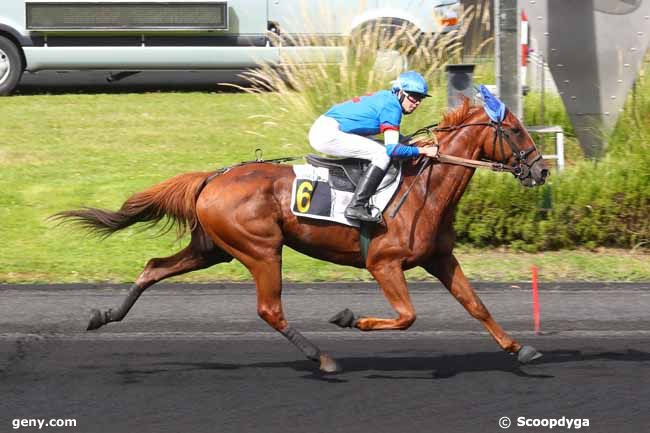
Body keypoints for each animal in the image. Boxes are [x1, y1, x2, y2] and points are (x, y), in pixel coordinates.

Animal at [52, 96, 548, 372]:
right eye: (515, 129)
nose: (541, 170)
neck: (424, 187)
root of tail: (212, 177)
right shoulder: (384, 263)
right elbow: (407, 316)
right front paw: (350, 318)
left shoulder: (439, 258)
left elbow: (476, 304)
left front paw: (519, 349)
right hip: (260, 249)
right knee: (269, 309)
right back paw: (322, 357)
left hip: (212, 248)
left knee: (154, 268)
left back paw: (104, 316)